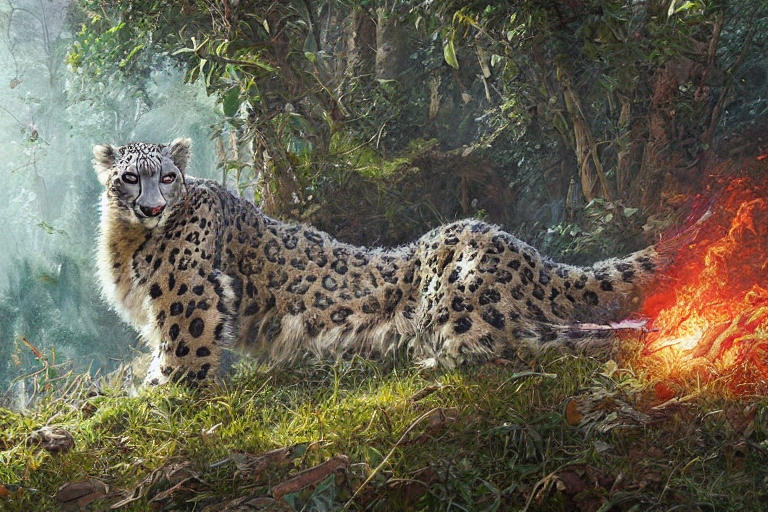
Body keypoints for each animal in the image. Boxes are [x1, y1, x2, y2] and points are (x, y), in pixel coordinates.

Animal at [94, 138, 669, 386]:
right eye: (131, 177)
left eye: (168, 177)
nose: (152, 207)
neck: (124, 242)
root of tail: (524, 250)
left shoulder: (188, 294)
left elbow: (181, 354)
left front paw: (156, 395)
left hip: (458, 305)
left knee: (510, 344)